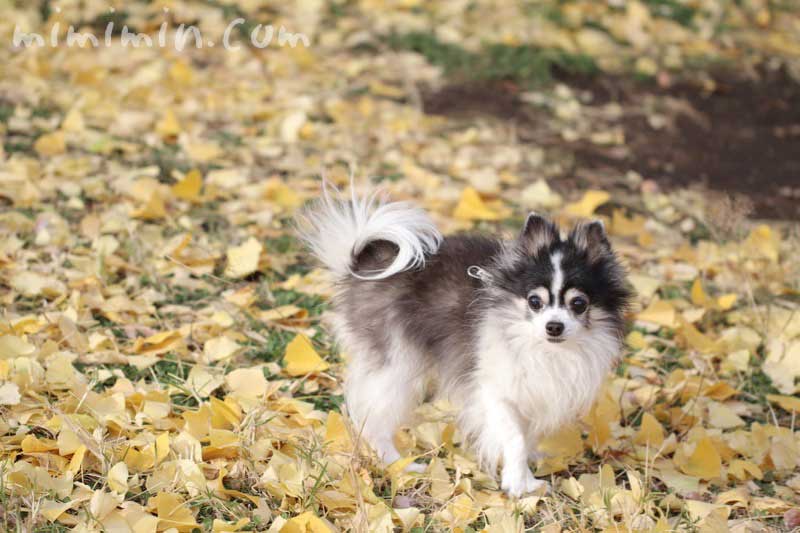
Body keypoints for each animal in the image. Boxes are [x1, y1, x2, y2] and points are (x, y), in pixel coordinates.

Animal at [296, 185, 636, 496]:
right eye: (535, 302)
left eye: (578, 304)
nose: (554, 326)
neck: (544, 349)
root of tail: (361, 264)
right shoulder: (496, 391)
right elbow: (514, 437)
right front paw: (518, 483)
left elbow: (525, 436)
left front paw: (525, 470)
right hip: (397, 365)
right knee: (374, 418)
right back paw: (398, 463)